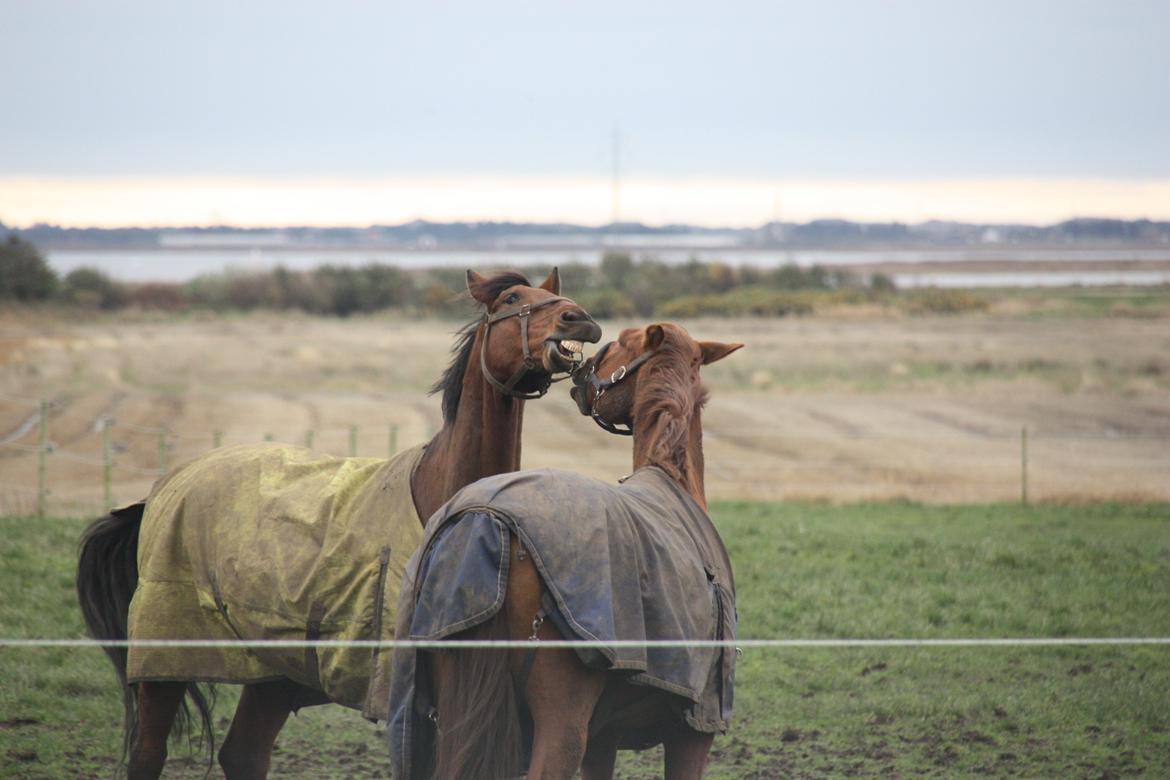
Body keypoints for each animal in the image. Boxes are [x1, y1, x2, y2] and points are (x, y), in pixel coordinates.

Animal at [73, 265, 599, 776]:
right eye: (512, 300)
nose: (578, 320)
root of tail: (164, 487)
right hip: (164, 668)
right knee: (148, 754)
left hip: (273, 675)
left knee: (242, 753)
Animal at [407, 320, 739, 776]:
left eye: (620, 344)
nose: (582, 373)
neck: (672, 477)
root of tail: (488, 519)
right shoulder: (693, 735)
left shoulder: (604, 740)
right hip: (563, 726)